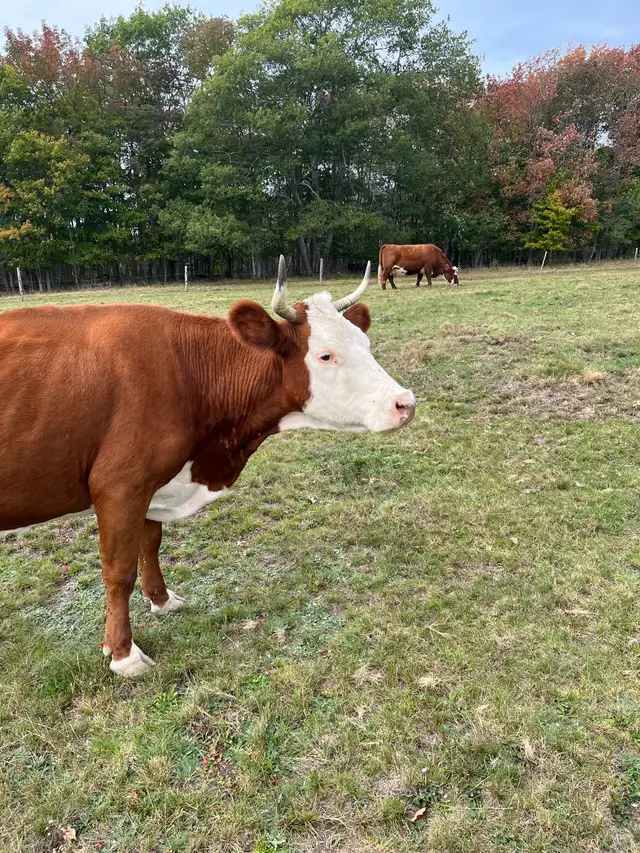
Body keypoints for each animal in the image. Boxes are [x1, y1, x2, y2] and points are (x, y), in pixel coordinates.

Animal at [0, 258, 415, 677]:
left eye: (365, 345)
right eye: (325, 355)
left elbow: (150, 543)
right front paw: (122, 654)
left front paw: (162, 600)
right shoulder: (119, 486)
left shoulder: (151, 484)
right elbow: (118, 571)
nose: (405, 402)